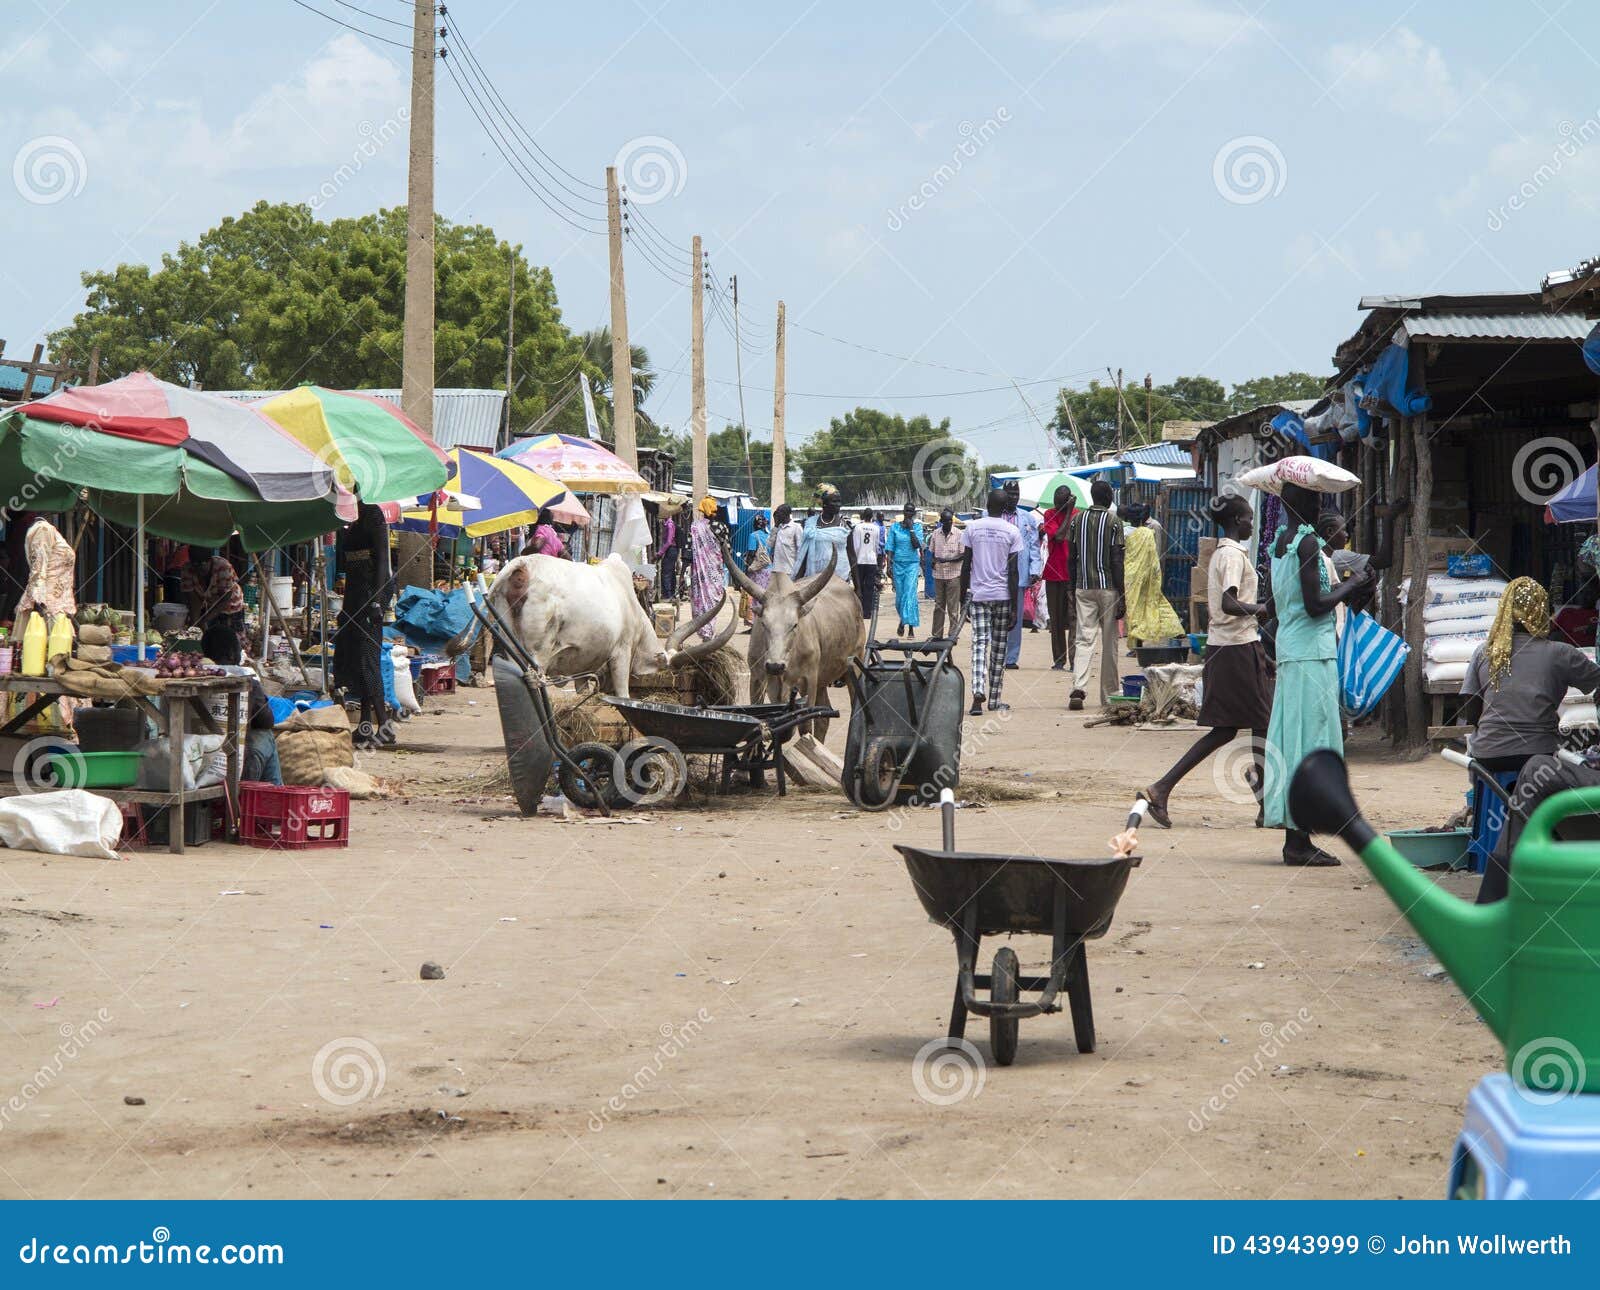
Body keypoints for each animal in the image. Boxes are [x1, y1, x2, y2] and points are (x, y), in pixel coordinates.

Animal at [454, 553, 732, 697]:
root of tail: (520, 566)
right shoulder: (621, 652)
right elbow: (623, 693)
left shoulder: (582, 663)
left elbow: (581, 690)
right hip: (537, 652)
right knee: (536, 681)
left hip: (511, 641)